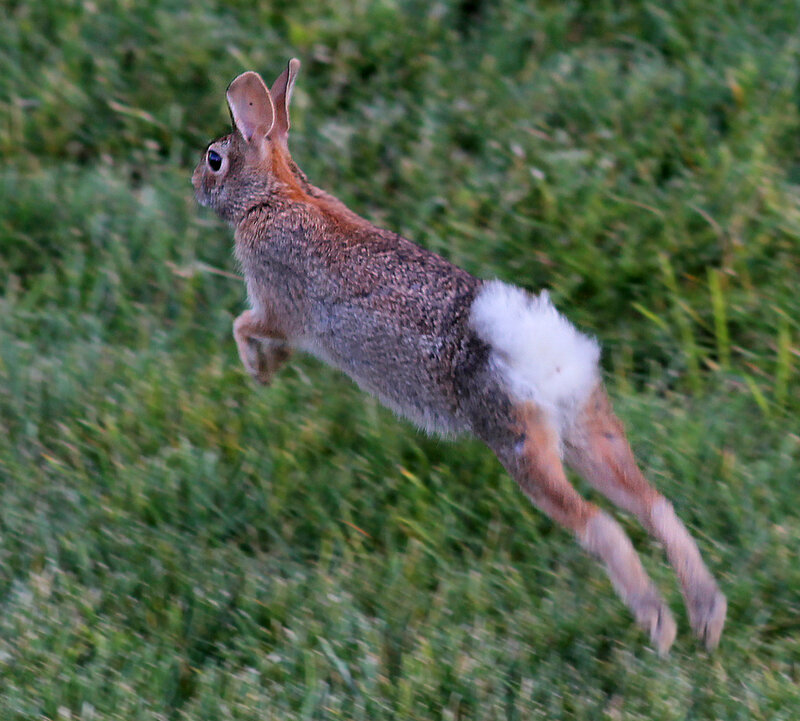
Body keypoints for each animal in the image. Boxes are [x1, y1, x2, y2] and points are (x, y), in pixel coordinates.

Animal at [192, 59, 727, 654]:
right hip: (590, 427)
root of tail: (538, 349)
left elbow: (245, 325)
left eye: (214, 159)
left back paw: (658, 623)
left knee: (599, 525)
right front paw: (270, 373)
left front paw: (258, 372)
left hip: (518, 442)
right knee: (653, 503)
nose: (194, 183)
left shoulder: (279, 303)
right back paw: (707, 617)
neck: (278, 193)